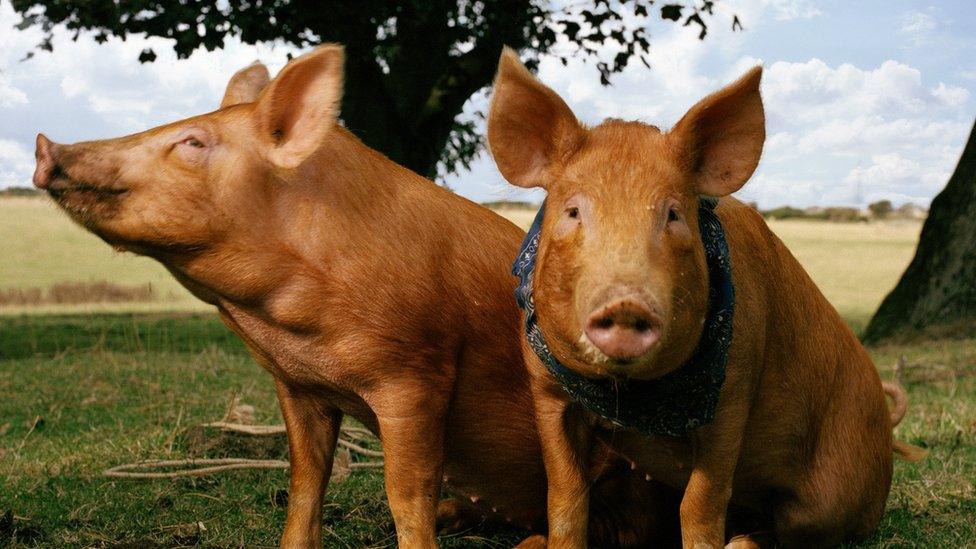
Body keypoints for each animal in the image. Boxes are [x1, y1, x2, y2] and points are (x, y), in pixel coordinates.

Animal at [32, 45, 677, 548]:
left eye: (193, 141)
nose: (44, 144)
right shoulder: (297, 385)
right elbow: (304, 481)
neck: (286, 326)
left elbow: (407, 493)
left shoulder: (417, 372)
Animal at [486, 48, 926, 548]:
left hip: (835, 494)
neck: (633, 399)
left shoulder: (735, 388)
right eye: (573, 211)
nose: (625, 303)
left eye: (674, 215)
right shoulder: (546, 388)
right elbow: (564, 496)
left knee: (796, 525)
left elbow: (702, 498)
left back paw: (742, 543)